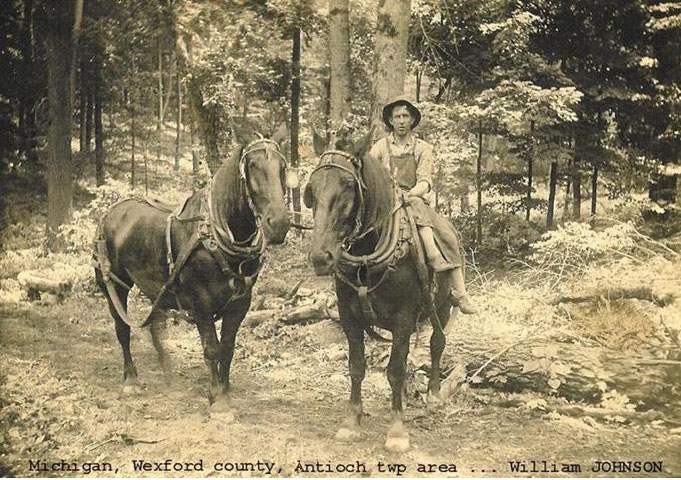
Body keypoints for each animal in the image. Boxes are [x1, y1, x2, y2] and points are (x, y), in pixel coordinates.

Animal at [93, 125, 290, 418]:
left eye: (282, 167)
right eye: (253, 166)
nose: (279, 223)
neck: (216, 236)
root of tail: (112, 211)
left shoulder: (241, 303)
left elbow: (227, 349)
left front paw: (223, 393)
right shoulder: (201, 303)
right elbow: (211, 349)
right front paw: (218, 401)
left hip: (158, 289)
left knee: (155, 325)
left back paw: (167, 372)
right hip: (115, 286)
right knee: (123, 329)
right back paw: (131, 380)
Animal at [306, 133, 454, 452]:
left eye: (348, 185)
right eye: (312, 188)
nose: (321, 257)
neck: (367, 253)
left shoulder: (404, 318)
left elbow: (395, 371)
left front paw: (397, 431)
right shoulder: (349, 316)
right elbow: (357, 366)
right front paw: (352, 420)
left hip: (443, 306)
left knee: (437, 342)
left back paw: (434, 392)